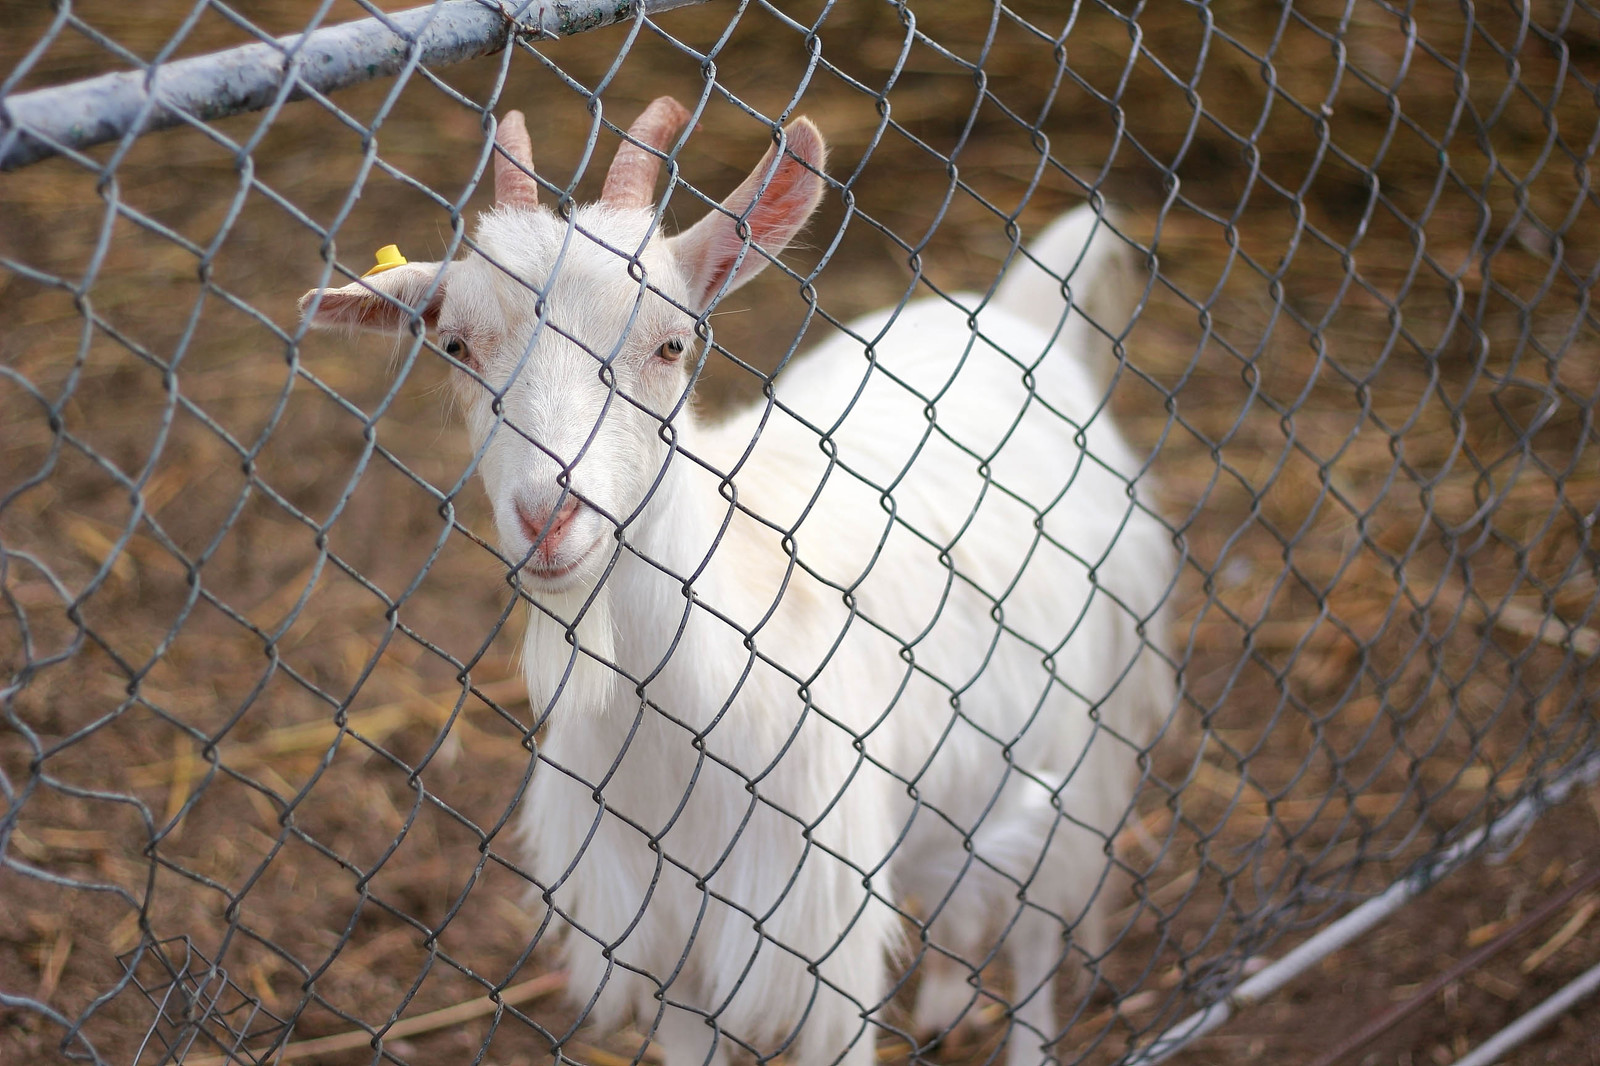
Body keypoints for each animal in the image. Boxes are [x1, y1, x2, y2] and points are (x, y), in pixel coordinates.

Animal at [302, 97, 1177, 1062]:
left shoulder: (824, 943)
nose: (548, 515)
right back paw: (949, 999)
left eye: (671, 343)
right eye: (454, 344)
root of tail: (1018, 319)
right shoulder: (665, 949)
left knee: (1036, 928)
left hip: (1075, 743)